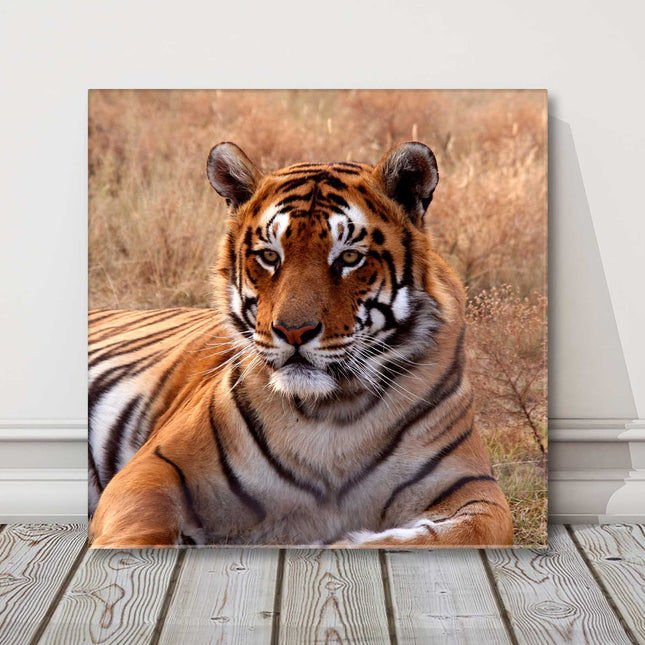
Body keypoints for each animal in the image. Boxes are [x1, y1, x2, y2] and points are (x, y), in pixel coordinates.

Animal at [88, 141, 514, 548]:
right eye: (269, 256)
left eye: (349, 257)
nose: (293, 332)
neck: (332, 416)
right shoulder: (154, 466)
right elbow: (140, 528)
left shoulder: (474, 488)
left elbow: (456, 535)